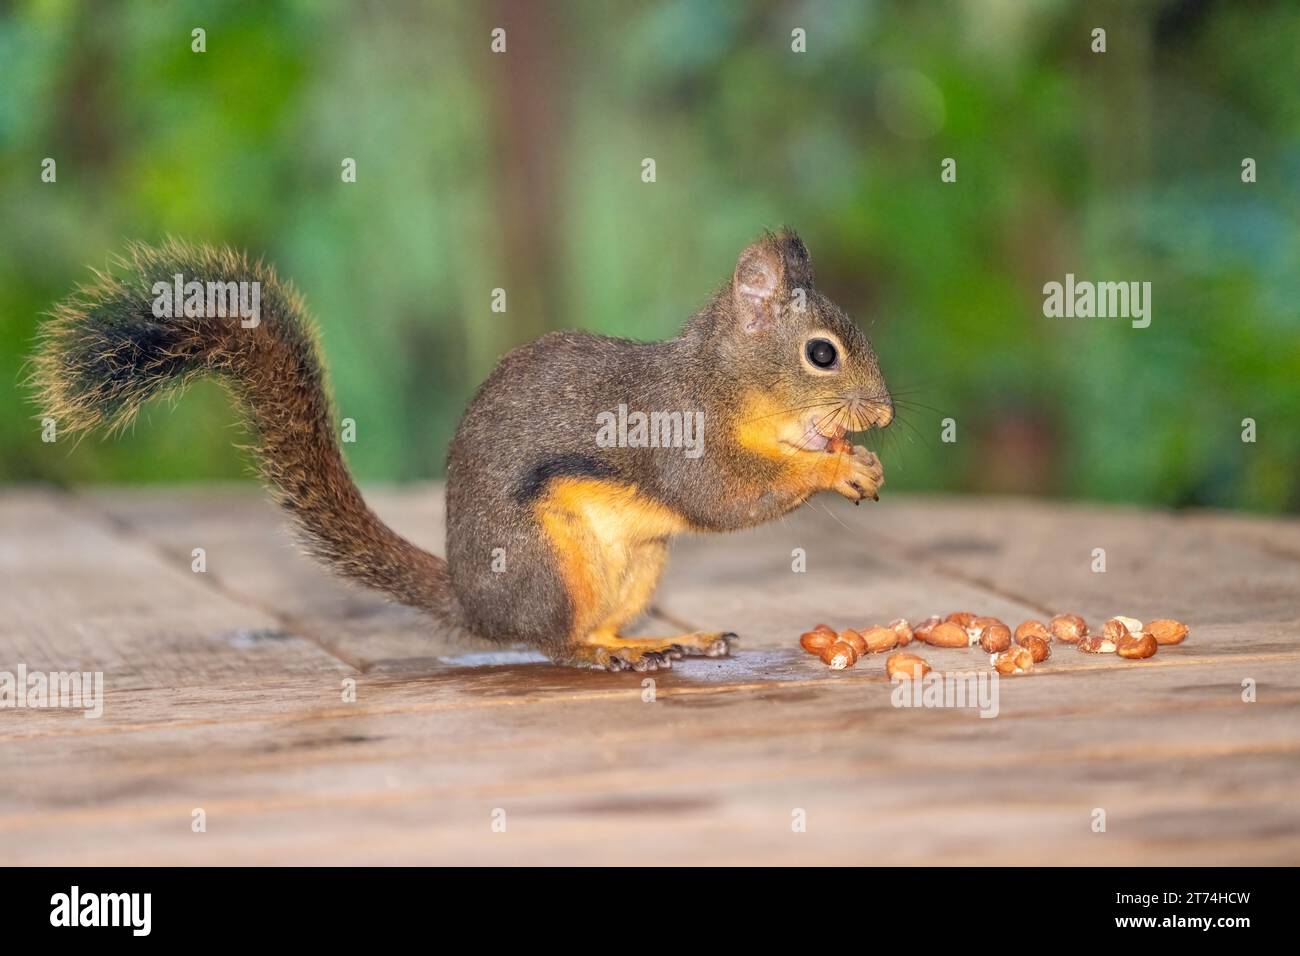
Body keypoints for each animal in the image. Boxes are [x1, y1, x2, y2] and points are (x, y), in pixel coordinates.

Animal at [32, 229, 892, 671]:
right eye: (822, 355)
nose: (883, 413)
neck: (724, 380)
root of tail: (474, 601)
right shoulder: (679, 433)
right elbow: (723, 496)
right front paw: (836, 466)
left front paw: (863, 461)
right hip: (548, 562)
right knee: (556, 642)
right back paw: (601, 656)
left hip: (636, 567)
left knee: (594, 628)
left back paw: (664, 638)